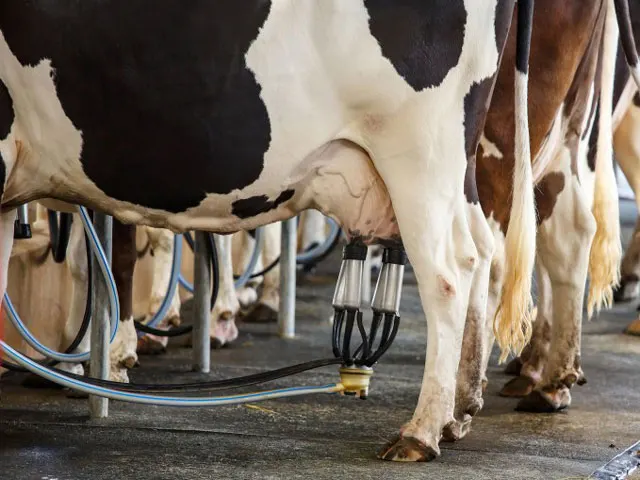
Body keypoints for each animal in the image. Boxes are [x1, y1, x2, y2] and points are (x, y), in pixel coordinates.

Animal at [0, 1, 540, 464]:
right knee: (483, 249)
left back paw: (421, 432)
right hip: (455, 167)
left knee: (449, 271)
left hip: (418, 149)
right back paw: (459, 411)